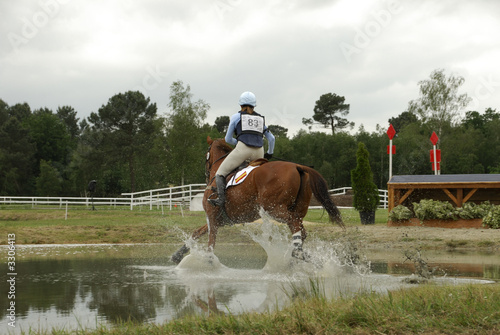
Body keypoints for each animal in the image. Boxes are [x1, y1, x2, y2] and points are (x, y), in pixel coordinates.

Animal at [171, 136, 344, 266]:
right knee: (301, 231)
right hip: (297, 208)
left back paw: (296, 254)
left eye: (205, 157)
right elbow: (197, 232)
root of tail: (297, 166)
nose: (206, 175)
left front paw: (208, 263)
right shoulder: (219, 220)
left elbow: (210, 244)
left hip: (275, 210)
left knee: (295, 224)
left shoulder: (213, 218)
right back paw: (294, 256)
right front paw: (177, 255)